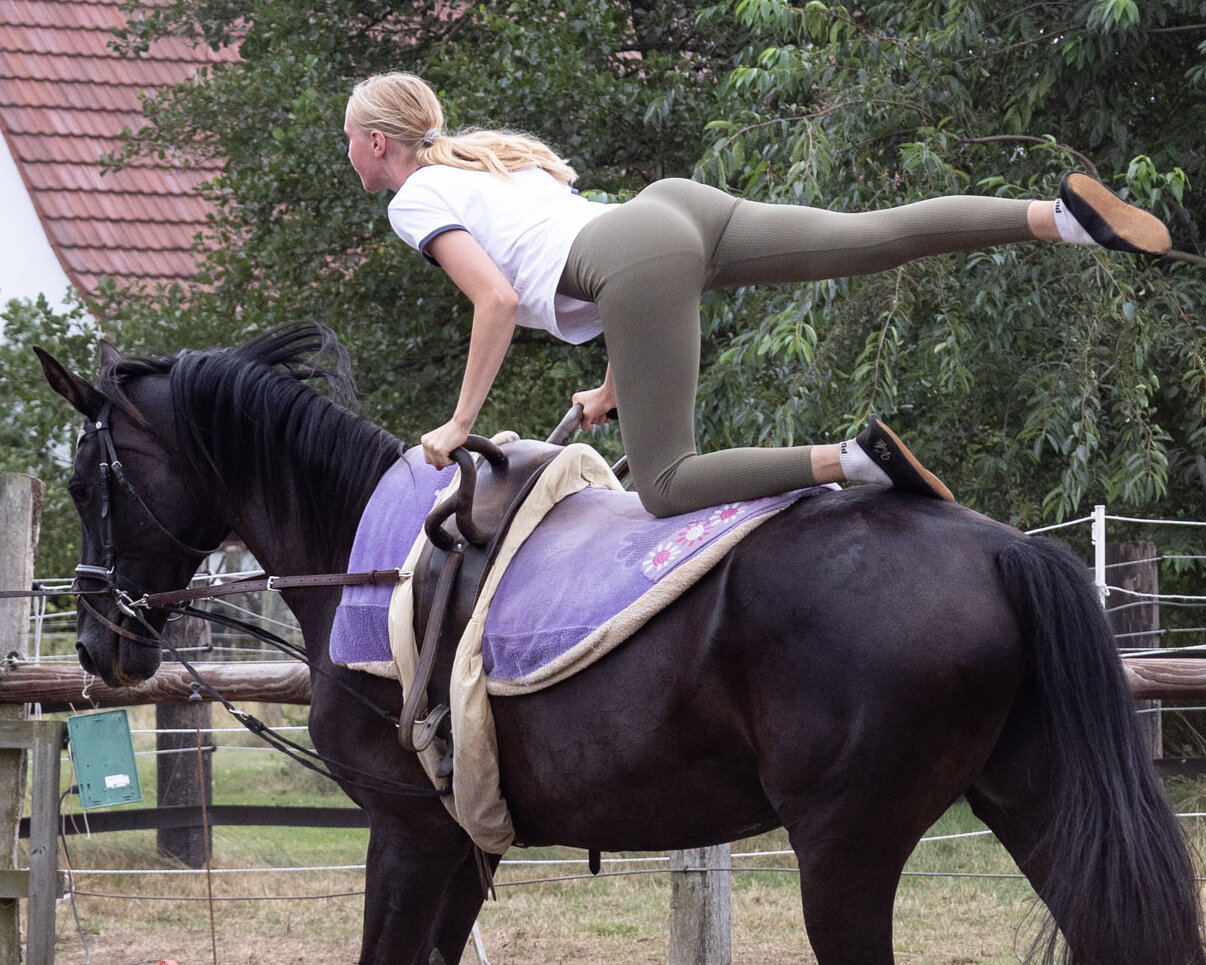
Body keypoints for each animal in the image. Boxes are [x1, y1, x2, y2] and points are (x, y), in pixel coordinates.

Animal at [37, 323, 1206, 964]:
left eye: (88, 480)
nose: (100, 640)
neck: (377, 564)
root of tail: (999, 548)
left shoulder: (408, 830)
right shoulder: (463, 841)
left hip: (846, 850)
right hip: (1035, 803)